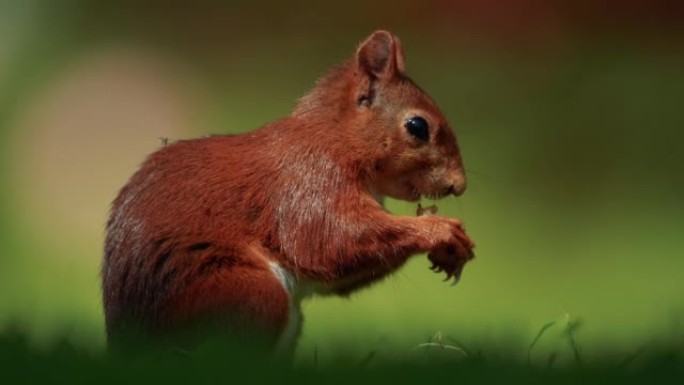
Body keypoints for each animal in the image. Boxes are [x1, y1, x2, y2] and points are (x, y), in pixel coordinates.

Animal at [103, 30, 476, 356]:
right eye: (418, 126)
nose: (459, 185)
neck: (336, 139)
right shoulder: (310, 180)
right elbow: (328, 241)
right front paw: (439, 231)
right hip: (248, 295)